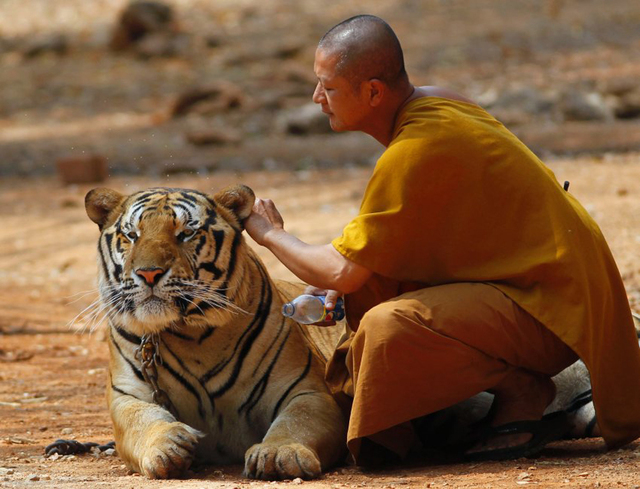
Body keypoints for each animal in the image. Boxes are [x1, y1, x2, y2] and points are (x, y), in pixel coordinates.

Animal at [84, 183, 350, 476]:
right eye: (131, 235)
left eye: (186, 233)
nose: (149, 273)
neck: (192, 337)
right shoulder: (126, 395)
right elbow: (140, 419)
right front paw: (168, 443)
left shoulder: (307, 389)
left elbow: (297, 419)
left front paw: (280, 452)